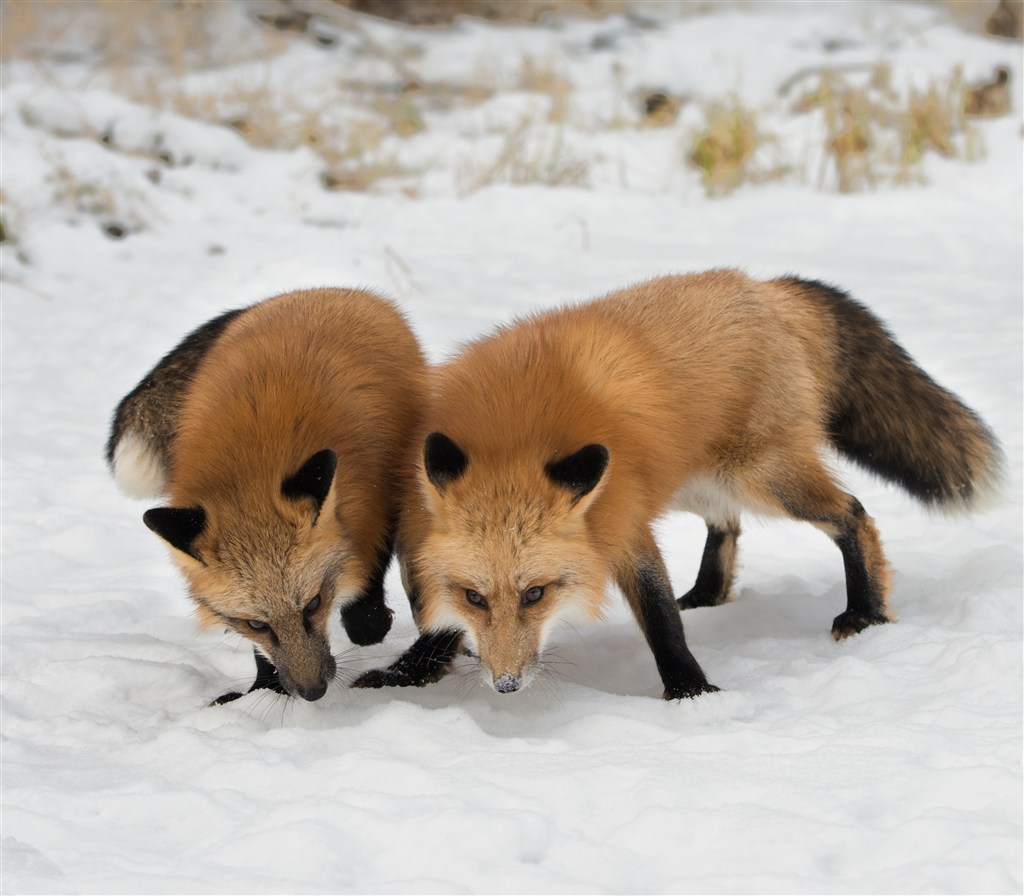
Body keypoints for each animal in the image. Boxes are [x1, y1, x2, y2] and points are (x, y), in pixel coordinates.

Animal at [111, 290, 428, 704]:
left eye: (313, 604)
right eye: (256, 624)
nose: (312, 692)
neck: (255, 458)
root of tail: (307, 292)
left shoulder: (382, 497)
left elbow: (369, 579)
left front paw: (368, 620)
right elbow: (259, 651)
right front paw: (265, 688)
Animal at [356, 272, 1003, 700]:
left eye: (537, 594)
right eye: (475, 598)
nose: (508, 684)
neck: (512, 439)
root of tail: (766, 287)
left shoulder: (621, 522)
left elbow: (659, 615)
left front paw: (691, 693)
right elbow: (438, 623)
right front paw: (408, 673)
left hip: (763, 477)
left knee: (854, 514)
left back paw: (865, 612)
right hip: (697, 480)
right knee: (729, 525)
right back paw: (711, 593)